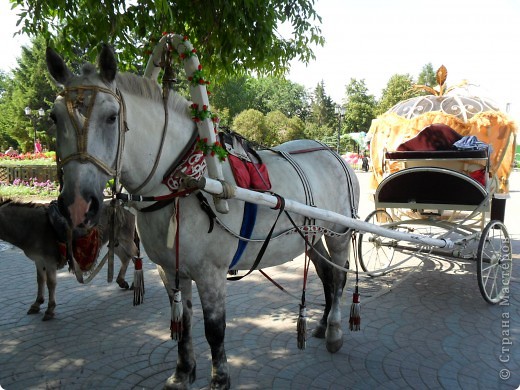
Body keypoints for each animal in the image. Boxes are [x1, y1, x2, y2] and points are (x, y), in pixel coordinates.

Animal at [46, 44, 360, 388]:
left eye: (111, 117)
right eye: (54, 117)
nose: (77, 206)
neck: (184, 182)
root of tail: (332, 152)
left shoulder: (211, 273)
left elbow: (214, 329)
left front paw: (219, 377)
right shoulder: (170, 269)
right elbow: (182, 320)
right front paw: (183, 371)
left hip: (339, 233)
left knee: (340, 277)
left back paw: (334, 331)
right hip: (311, 238)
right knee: (327, 276)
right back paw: (322, 324)